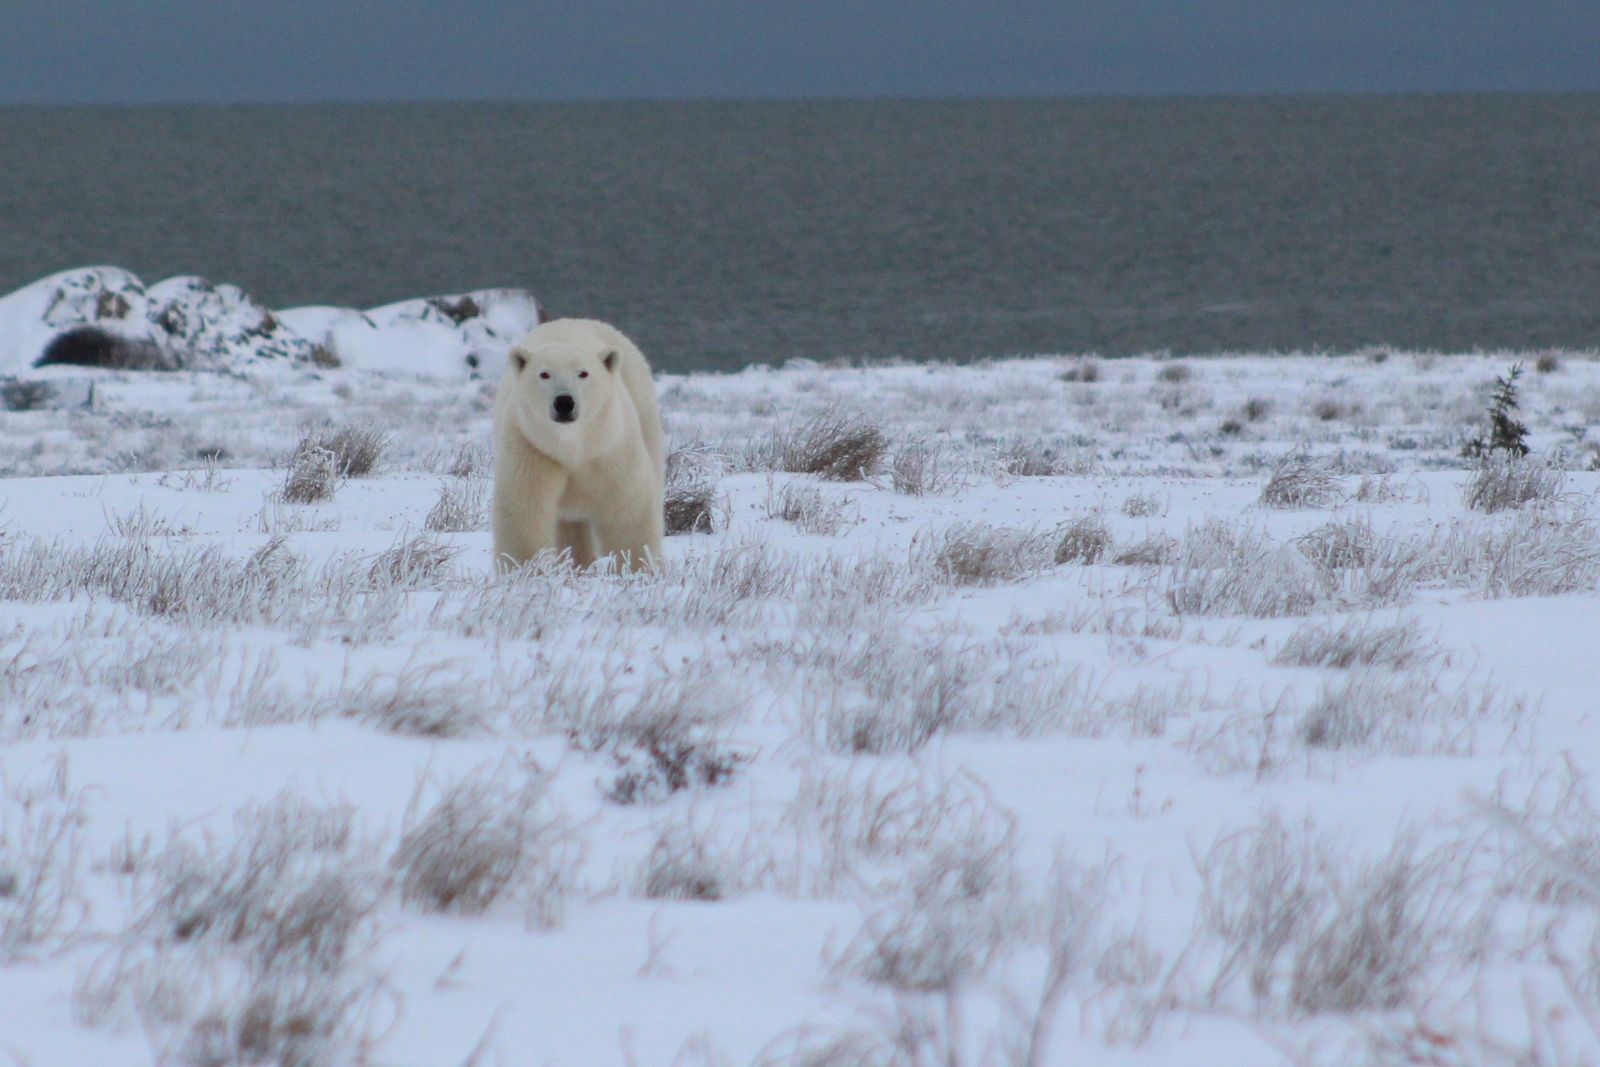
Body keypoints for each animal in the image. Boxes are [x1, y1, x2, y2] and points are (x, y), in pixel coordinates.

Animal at [492, 318, 665, 573]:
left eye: (583, 373)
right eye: (544, 374)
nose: (564, 401)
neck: (573, 447)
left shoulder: (610, 451)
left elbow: (628, 510)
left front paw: (637, 570)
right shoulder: (531, 449)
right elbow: (524, 510)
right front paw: (524, 572)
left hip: (645, 413)